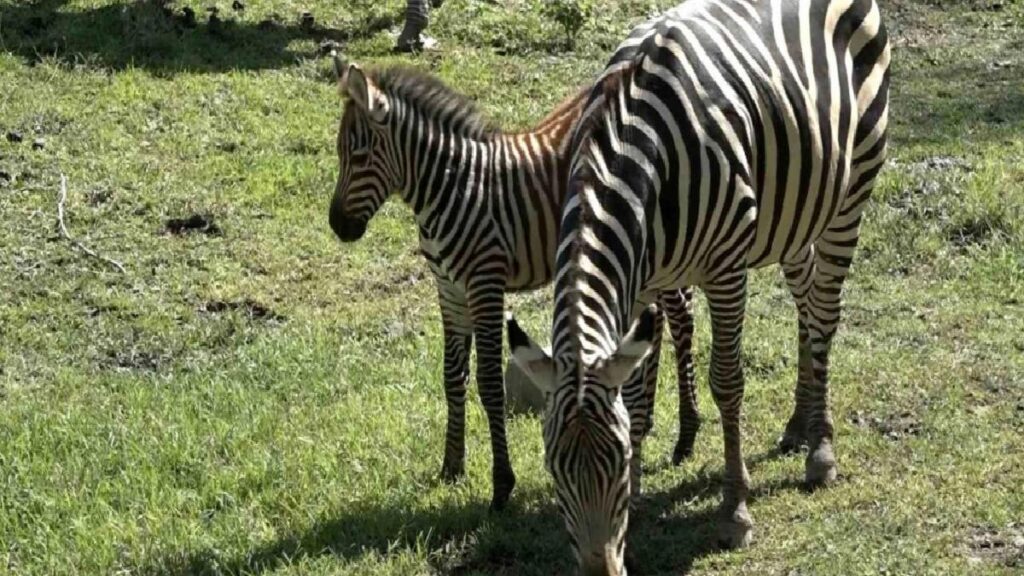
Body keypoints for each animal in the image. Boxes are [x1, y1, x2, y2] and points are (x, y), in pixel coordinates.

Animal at [326, 57, 701, 511]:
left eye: (359, 154)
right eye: (341, 152)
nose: (337, 226)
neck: (449, 186)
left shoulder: (485, 284)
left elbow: (489, 384)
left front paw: (501, 485)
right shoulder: (449, 290)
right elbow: (451, 377)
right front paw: (451, 466)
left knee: (681, 317)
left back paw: (686, 435)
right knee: (664, 316)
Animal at [508, 0, 890, 572]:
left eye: (616, 462)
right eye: (553, 468)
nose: (601, 570)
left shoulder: (725, 267)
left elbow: (727, 382)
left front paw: (735, 511)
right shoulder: (639, 285)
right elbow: (637, 399)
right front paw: (640, 504)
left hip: (851, 192)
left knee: (824, 313)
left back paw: (820, 450)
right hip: (795, 211)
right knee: (805, 298)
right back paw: (798, 423)